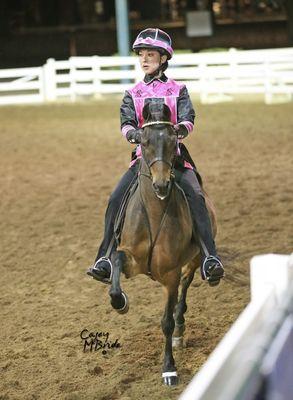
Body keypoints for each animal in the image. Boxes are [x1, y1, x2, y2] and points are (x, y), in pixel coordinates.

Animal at [108, 101, 216, 386]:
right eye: (144, 142)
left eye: (172, 140)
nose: (161, 184)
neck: (156, 214)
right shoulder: (132, 260)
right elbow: (117, 261)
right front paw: (119, 301)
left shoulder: (170, 274)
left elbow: (166, 320)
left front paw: (169, 368)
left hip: (194, 261)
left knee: (184, 289)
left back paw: (180, 331)